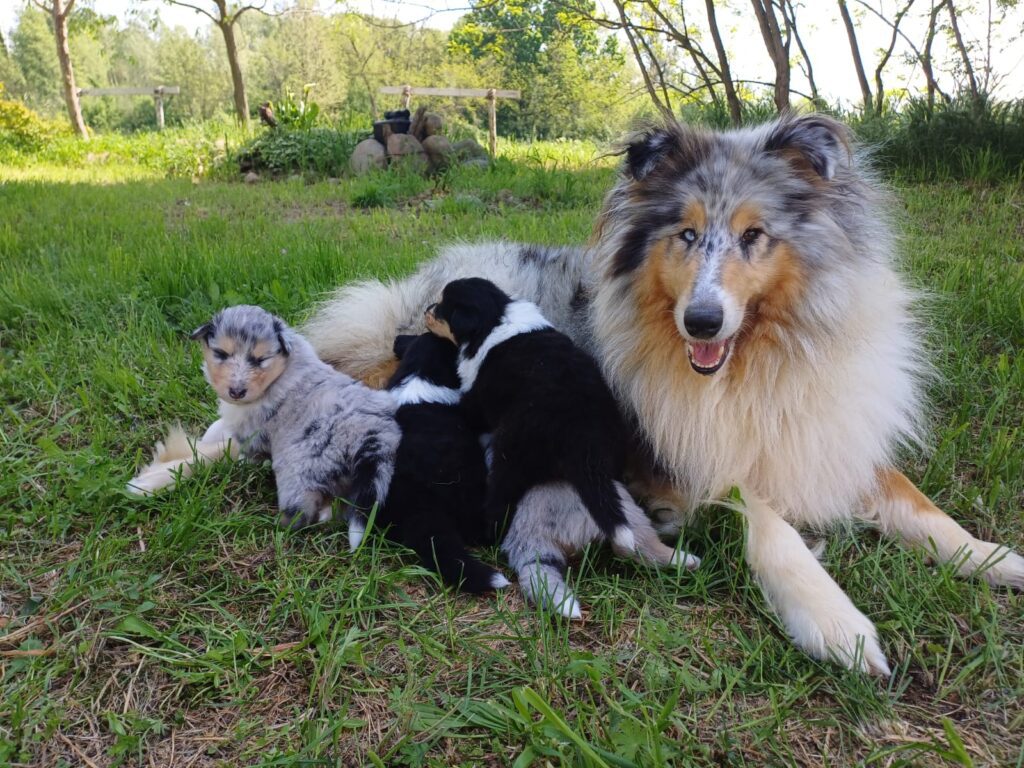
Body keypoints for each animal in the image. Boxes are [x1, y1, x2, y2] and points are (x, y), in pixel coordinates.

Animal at [425, 278, 634, 552]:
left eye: (441, 307)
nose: (425, 311)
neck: (495, 317)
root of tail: (583, 436)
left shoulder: (476, 396)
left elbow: (468, 406)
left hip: (510, 452)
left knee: (499, 500)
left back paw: (488, 537)